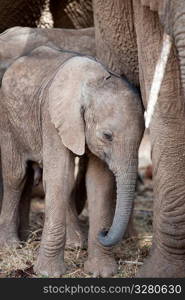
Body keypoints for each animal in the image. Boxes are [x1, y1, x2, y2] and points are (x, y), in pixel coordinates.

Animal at [0, 45, 145, 276]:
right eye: (107, 136)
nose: (104, 232)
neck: (94, 81)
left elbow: (98, 183)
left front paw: (101, 271)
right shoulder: (52, 118)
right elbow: (60, 177)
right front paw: (48, 273)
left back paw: (70, 242)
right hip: (7, 118)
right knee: (16, 175)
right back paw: (11, 244)